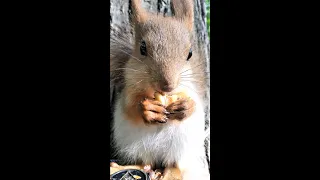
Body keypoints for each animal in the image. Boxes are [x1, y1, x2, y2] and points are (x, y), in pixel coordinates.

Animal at [110, 0, 210, 179]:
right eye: (142, 48)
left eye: (190, 53)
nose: (168, 86)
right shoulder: (129, 88)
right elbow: (130, 106)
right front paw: (148, 109)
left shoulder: (190, 87)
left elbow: (195, 103)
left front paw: (186, 106)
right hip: (136, 147)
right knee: (144, 162)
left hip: (181, 147)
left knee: (174, 164)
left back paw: (169, 172)